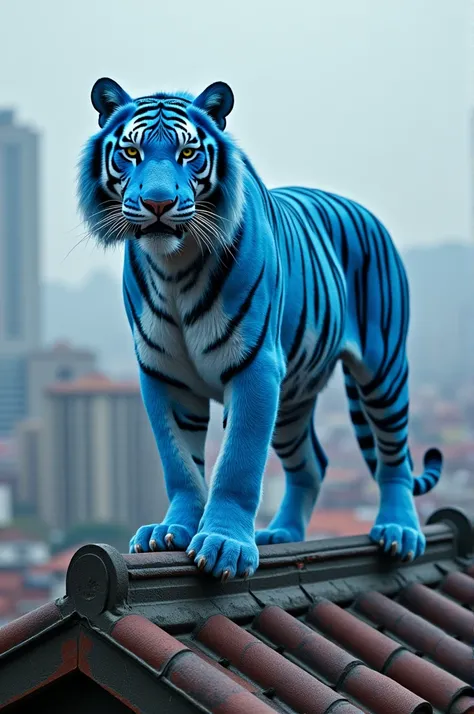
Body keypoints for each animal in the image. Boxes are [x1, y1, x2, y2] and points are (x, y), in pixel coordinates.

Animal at [78, 78, 444, 580]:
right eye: (131, 152)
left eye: (189, 152)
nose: (157, 203)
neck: (174, 266)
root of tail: (362, 209)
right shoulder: (163, 376)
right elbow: (180, 463)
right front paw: (169, 532)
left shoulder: (255, 367)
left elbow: (239, 461)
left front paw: (224, 546)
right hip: (293, 399)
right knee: (313, 465)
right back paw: (284, 533)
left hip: (383, 369)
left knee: (393, 456)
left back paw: (399, 530)